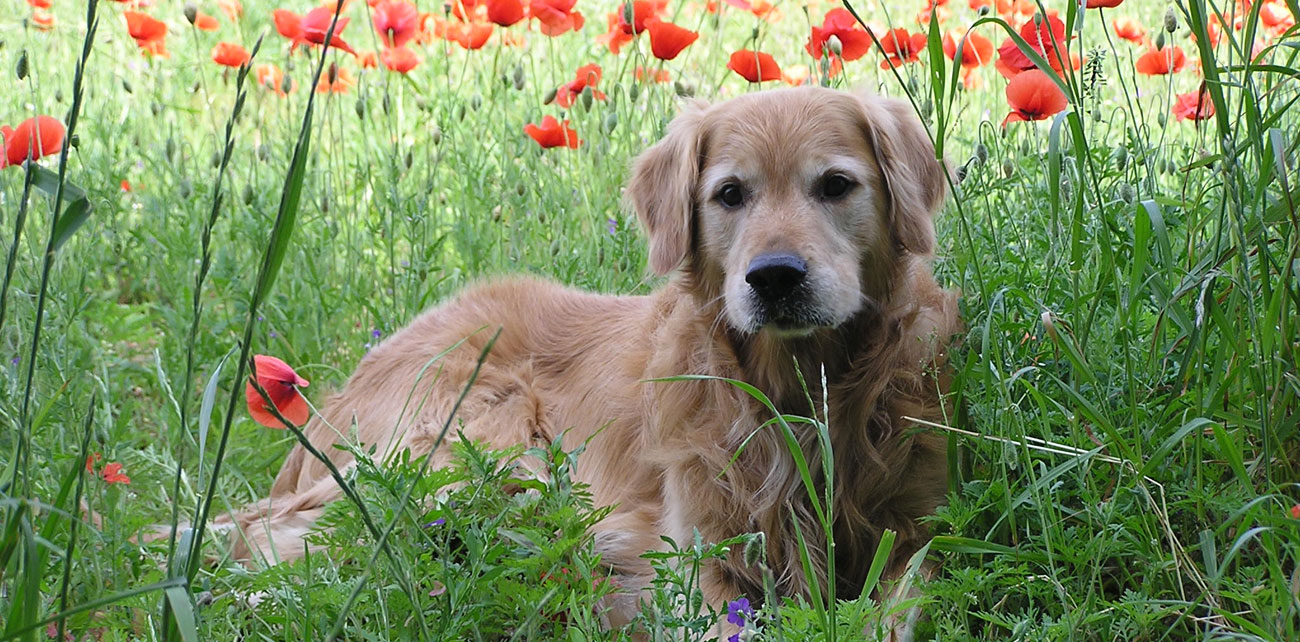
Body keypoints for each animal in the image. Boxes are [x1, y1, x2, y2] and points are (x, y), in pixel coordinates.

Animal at [220, 85, 956, 631]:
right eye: (730, 195)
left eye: (835, 185)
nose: (774, 277)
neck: (799, 391)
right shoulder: (693, 552)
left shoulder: (922, 529)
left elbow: (907, 602)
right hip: (481, 449)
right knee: (283, 540)